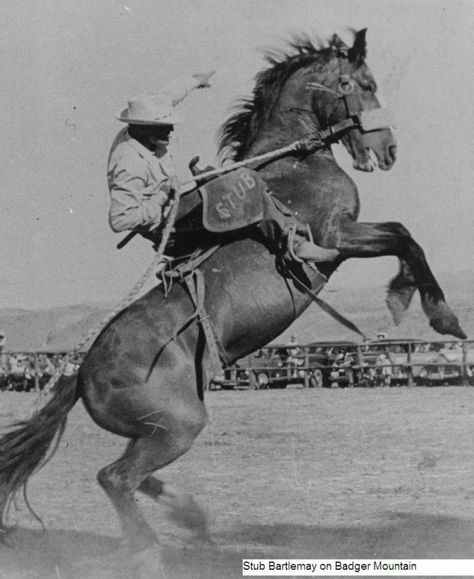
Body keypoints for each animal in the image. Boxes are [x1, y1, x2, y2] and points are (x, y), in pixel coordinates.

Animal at [0, 28, 466, 576]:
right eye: (364, 84)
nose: (388, 148)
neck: (292, 162)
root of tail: (78, 374)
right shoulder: (336, 235)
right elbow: (404, 236)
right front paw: (439, 315)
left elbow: (402, 235)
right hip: (177, 426)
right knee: (116, 477)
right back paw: (151, 549)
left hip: (157, 430)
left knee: (130, 476)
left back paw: (189, 517)